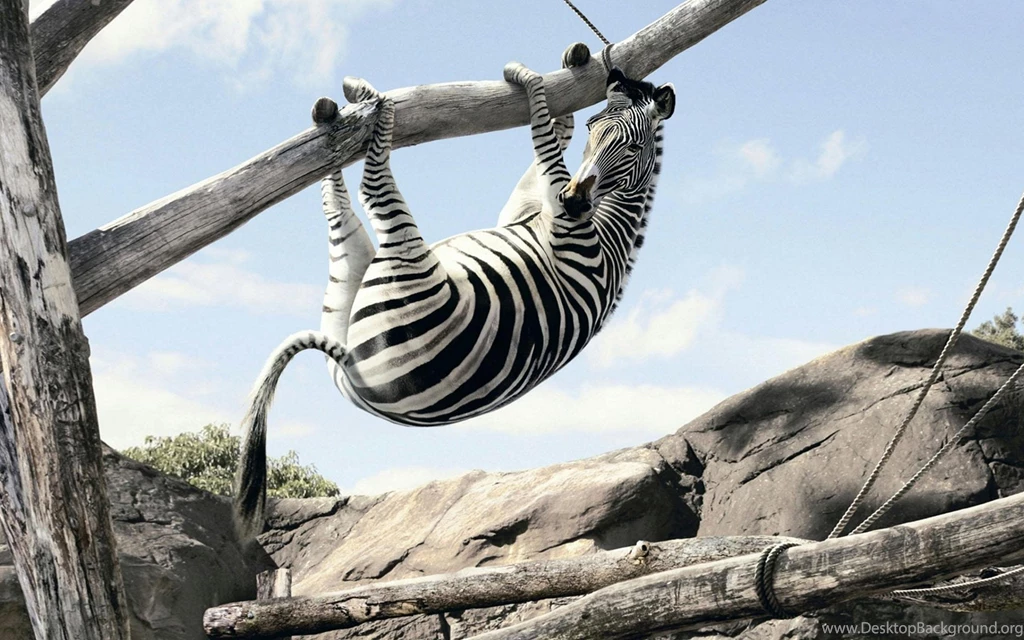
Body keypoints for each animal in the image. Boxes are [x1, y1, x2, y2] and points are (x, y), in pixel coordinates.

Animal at [235, 42, 675, 535]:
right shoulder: (525, 210)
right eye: (594, 129)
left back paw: (373, 103)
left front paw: (525, 77)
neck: (609, 229)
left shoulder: (563, 227)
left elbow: (543, 140)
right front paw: (560, 79)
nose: (575, 200)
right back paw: (333, 123)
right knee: (337, 204)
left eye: (633, 146)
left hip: (402, 260)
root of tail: (352, 369)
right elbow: (548, 142)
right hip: (345, 285)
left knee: (373, 186)